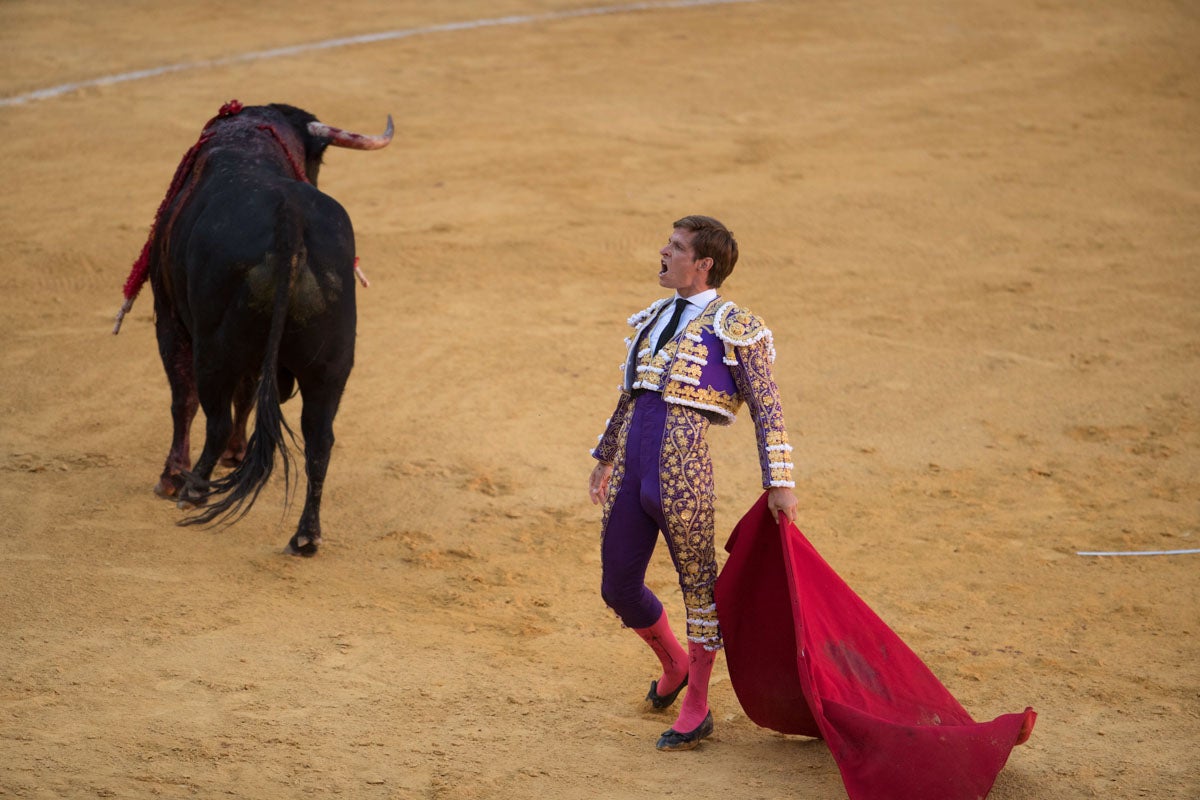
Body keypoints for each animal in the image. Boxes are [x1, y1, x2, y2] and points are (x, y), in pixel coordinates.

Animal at [116, 101, 391, 556]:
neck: (249, 138)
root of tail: (290, 221)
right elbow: (247, 397)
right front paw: (237, 454)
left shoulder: (169, 316)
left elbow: (185, 400)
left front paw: (171, 477)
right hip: (331, 365)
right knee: (320, 437)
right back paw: (305, 536)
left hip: (213, 348)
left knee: (212, 413)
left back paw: (193, 488)